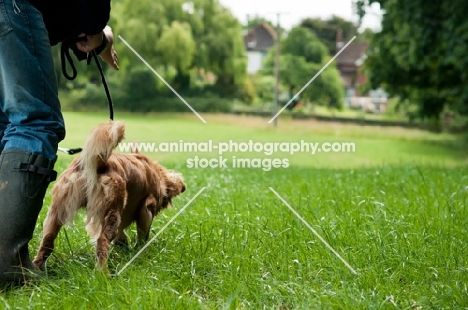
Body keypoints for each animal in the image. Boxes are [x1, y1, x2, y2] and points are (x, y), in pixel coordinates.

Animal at [33, 121, 186, 272]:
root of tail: (100, 163)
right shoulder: (146, 209)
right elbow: (143, 233)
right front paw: (140, 250)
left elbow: (122, 234)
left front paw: (124, 246)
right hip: (112, 211)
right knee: (102, 242)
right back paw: (103, 273)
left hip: (57, 212)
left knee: (47, 241)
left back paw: (36, 270)